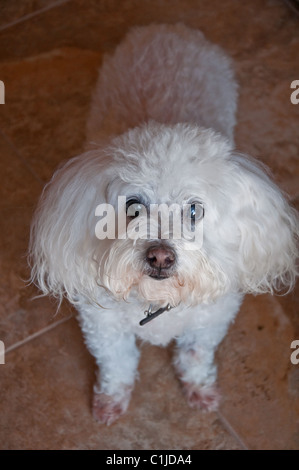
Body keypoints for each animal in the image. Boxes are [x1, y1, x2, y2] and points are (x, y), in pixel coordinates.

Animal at [29, 23, 298, 424]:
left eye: (194, 210)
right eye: (134, 206)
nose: (160, 256)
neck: (156, 300)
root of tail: (168, 29)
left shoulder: (209, 321)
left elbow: (195, 354)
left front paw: (200, 389)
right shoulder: (104, 326)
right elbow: (117, 362)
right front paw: (111, 400)